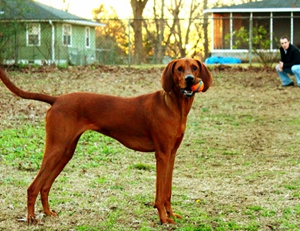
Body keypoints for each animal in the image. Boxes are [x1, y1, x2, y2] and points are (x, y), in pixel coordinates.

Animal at [0, 57, 212, 224]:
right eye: (179, 69)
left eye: (194, 67)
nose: (190, 79)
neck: (173, 106)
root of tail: (57, 99)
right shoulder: (162, 155)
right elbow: (160, 194)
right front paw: (163, 218)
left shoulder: (171, 155)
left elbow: (167, 191)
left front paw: (171, 214)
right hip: (56, 148)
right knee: (33, 187)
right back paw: (31, 218)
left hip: (66, 152)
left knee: (44, 186)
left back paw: (47, 212)